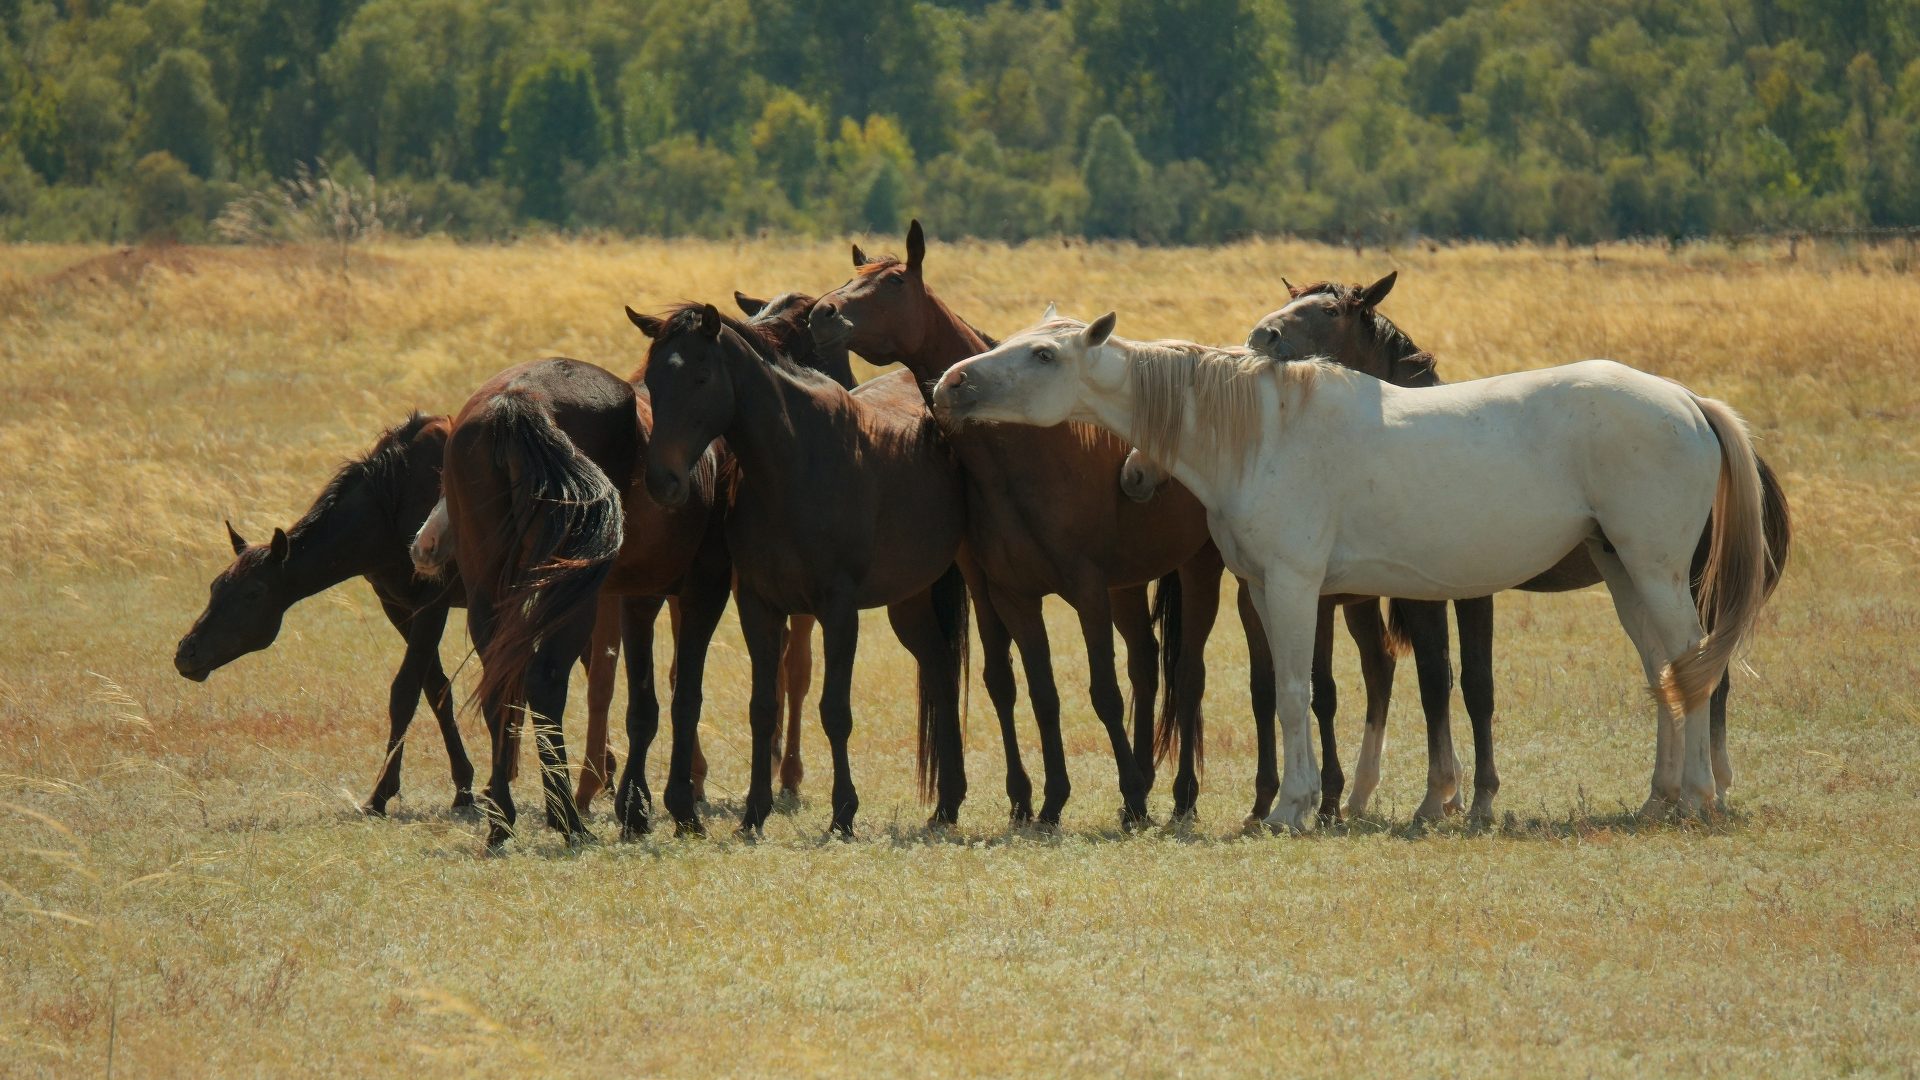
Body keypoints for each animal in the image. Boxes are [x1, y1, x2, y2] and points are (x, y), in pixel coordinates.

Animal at [171, 411, 618, 814]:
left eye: (254, 593)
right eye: (214, 586)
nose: (186, 652)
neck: (385, 513)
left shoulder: (432, 602)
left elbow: (404, 691)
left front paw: (381, 792)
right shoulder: (396, 605)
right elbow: (437, 690)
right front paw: (463, 784)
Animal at [817, 220, 1251, 822]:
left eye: (895, 282)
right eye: (848, 278)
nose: (822, 314)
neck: (1021, 455)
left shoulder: (1086, 590)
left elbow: (1102, 691)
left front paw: (1126, 791)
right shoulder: (1012, 594)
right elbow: (1038, 691)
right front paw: (1050, 801)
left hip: (1198, 570)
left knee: (1187, 677)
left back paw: (1181, 796)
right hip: (1126, 585)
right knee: (1146, 663)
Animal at [929, 307, 1766, 826]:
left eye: (1043, 354)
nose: (950, 385)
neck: (1261, 435)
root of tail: (1686, 400)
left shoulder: (1295, 588)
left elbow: (1297, 693)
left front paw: (1294, 807)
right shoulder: (1264, 591)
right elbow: (1285, 693)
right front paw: (1297, 803)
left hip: (1656, 573)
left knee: (1693, 664)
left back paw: (1698, 795)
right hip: (1623, 572)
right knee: (1665, 672)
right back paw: (1660, 799)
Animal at [1236, 270, 1789, 814]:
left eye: (1328, 311)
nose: (1262, 336)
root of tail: (1690, 402)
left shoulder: (1454, 596)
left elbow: (1460, 684)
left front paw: (1458, 798)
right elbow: (1438, 683)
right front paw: (1450, 795)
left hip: (1673, 579)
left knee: (1702, 669)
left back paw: (1707, 790)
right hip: (1629, 576)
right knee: (1670, 670)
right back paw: (1663, 795)